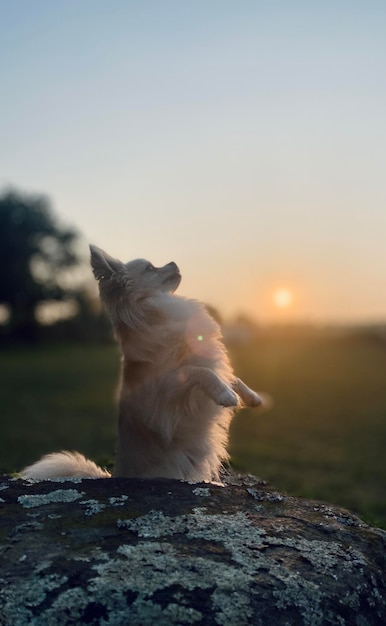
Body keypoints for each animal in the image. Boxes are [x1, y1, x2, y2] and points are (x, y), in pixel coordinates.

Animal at [20, 246, 262, 480]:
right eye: (150, 268)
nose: (173, 262)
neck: (159, 308)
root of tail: (115, 475)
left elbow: (230, 376)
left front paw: (252, 397)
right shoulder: (169, 391)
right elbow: (200, 371)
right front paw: (226, 395)